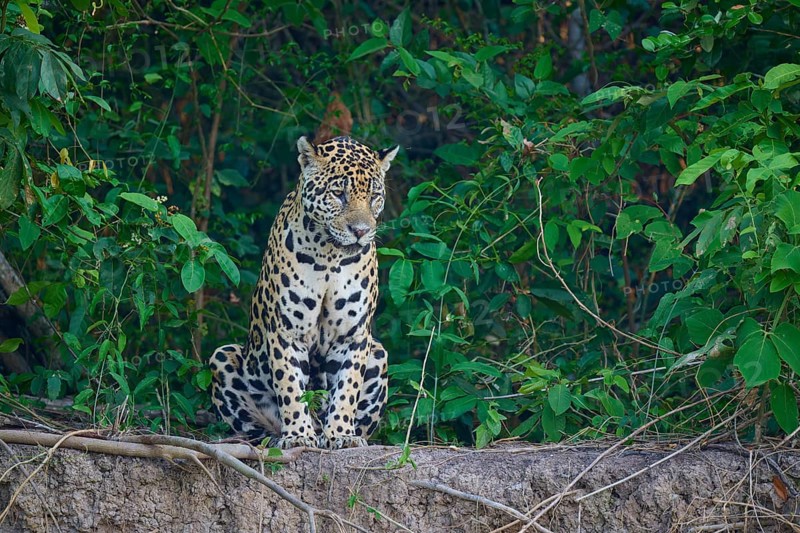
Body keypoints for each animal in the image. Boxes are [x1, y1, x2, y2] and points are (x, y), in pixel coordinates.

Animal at [209, 135, 398, 449]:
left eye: (374, 196)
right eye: (338, 194)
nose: (361, 231)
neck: (330, 256)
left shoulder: (354, 335)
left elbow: (347, 387)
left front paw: (341, 434)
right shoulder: (286, 331)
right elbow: (289, 385)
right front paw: (298, 435)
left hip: (379, 353)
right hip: (223, 357)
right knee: (253, 426)